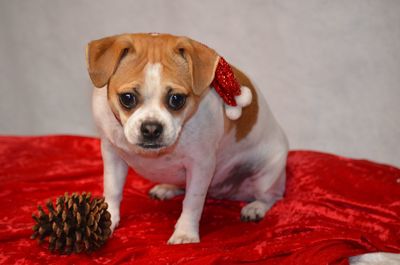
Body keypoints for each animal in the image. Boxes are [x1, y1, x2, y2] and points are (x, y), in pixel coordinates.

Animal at [86, 33, 290, 243]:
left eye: (176, 99)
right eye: (127, 98)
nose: (151, 128)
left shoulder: (201, 166)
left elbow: (193, 202)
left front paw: (185, 233)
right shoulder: (112, 156)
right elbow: (112, 189)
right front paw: (107, 220)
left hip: (266, 175)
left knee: (272, 196)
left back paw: (255, 207)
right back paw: (167, 188)